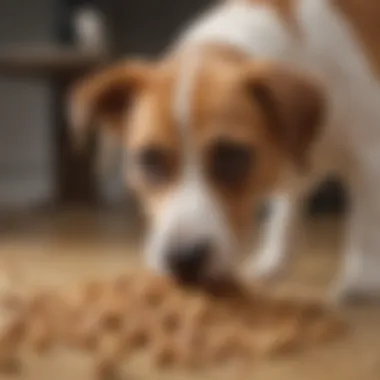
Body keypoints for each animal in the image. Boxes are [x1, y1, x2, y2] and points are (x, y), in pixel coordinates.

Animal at [70, 0, 380, 302]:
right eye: (150, 160)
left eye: (232, 156)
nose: (184, 260)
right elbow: (286, 210)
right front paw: (273, 261)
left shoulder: (369, 158)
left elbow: (365, 226)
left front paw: (361, 281)